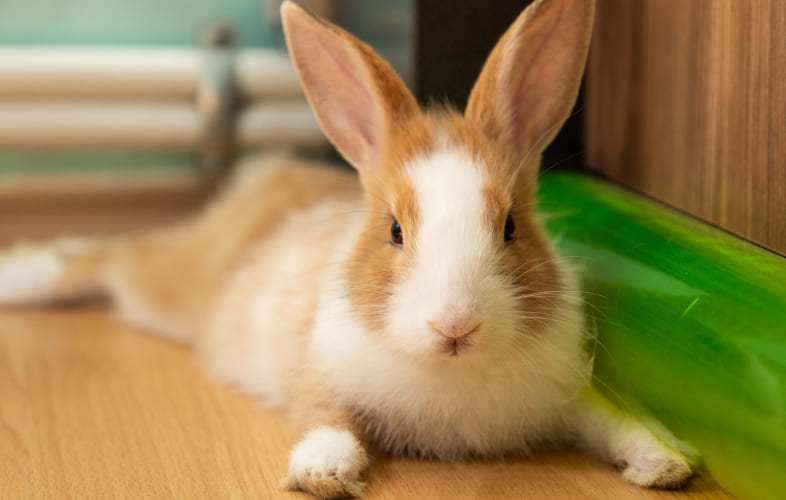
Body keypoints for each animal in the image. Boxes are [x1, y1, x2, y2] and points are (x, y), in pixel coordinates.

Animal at [0, 0, 694, 498]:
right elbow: (327, 417)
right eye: (394, 231)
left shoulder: (567, 395)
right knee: (106, 257)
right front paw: (321, 472)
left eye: (510, 229)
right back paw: (20, 275)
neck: (451, 373)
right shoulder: (319, 370)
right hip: (168, 287)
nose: (455, 326)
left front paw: (665, 464)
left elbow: (608, 420)